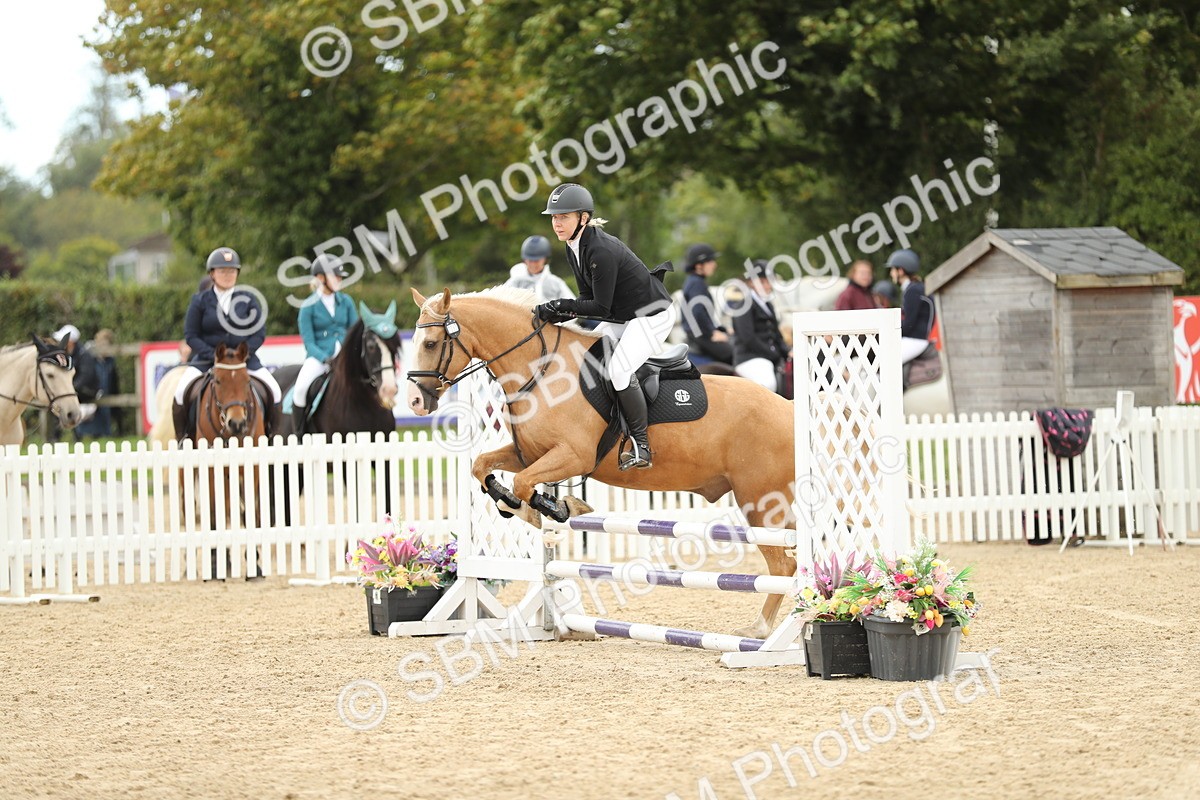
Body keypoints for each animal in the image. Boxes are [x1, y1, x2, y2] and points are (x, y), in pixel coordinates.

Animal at [406, 287, 798, 638]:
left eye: (430, 344)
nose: (415, 402)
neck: (540, 369)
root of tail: (790, 408)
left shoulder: (571, 455)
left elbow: (523, 484)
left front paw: (556, 509)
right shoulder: (528, 455)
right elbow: (483, 467)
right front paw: (521, 506)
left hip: (761, 502)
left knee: (784, 564)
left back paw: (761, 631)